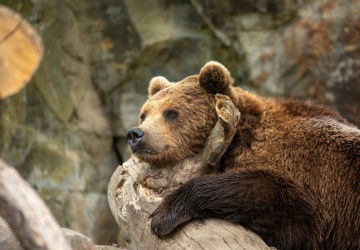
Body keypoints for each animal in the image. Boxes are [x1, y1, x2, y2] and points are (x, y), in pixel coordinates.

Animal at [126, 61, 360, 250]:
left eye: (172, 113)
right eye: (144, 114)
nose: (135, 134)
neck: (236, 139)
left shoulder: (308, 174)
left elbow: (288, 209)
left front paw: (164, 216)